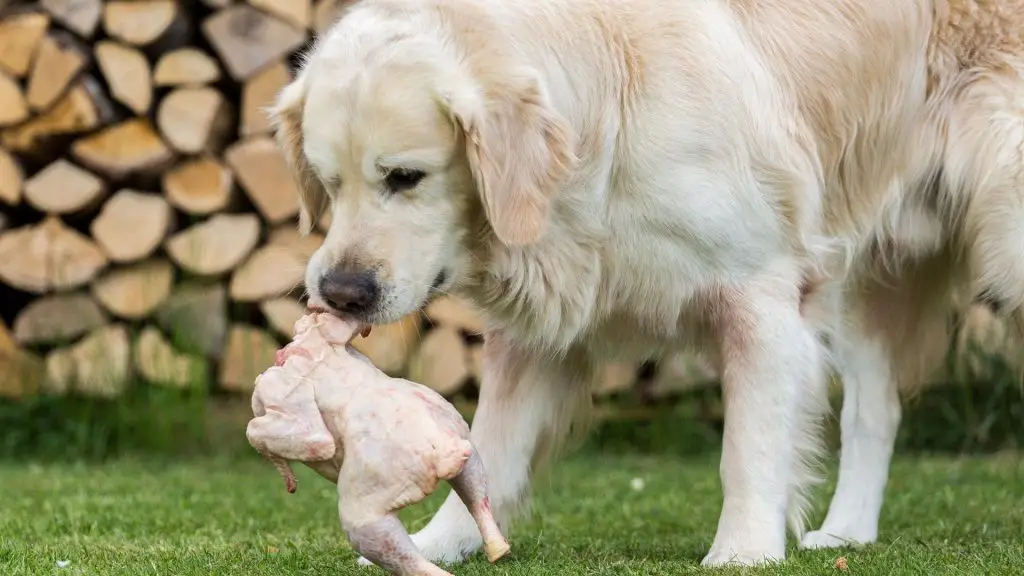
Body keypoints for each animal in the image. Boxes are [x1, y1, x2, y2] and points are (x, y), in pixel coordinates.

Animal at [270, 0, 1024, 565]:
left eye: (406, 177)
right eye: (327, 183)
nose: (340, 293)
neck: (606, 118)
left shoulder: (761, 295)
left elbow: (749, 447)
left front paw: (743, 552)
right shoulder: (540, 324)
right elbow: (490, 445)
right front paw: (441, 543)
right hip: (869, 272)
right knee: (877, 409)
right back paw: (847, 532)